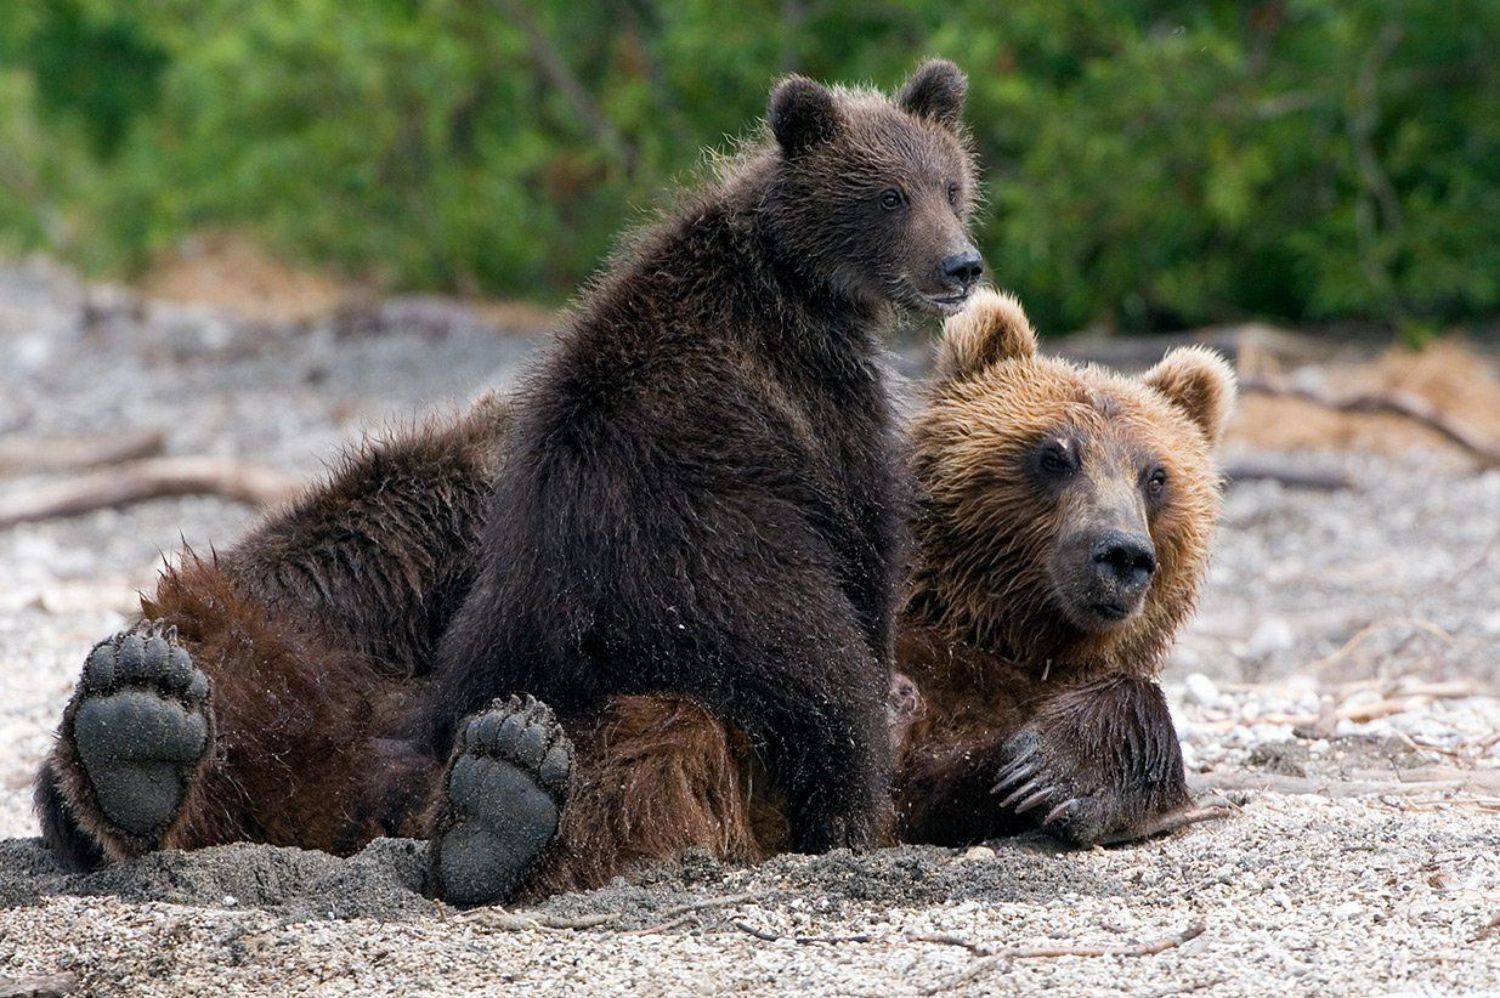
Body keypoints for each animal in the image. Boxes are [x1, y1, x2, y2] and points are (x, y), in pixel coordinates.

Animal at [34, 60, 986, 907]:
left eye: (950, 184)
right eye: (891, 195)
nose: (963, 266)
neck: (792, 273)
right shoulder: (809, 398)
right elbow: (866, 539)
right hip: (715, 575)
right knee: (820, 678)